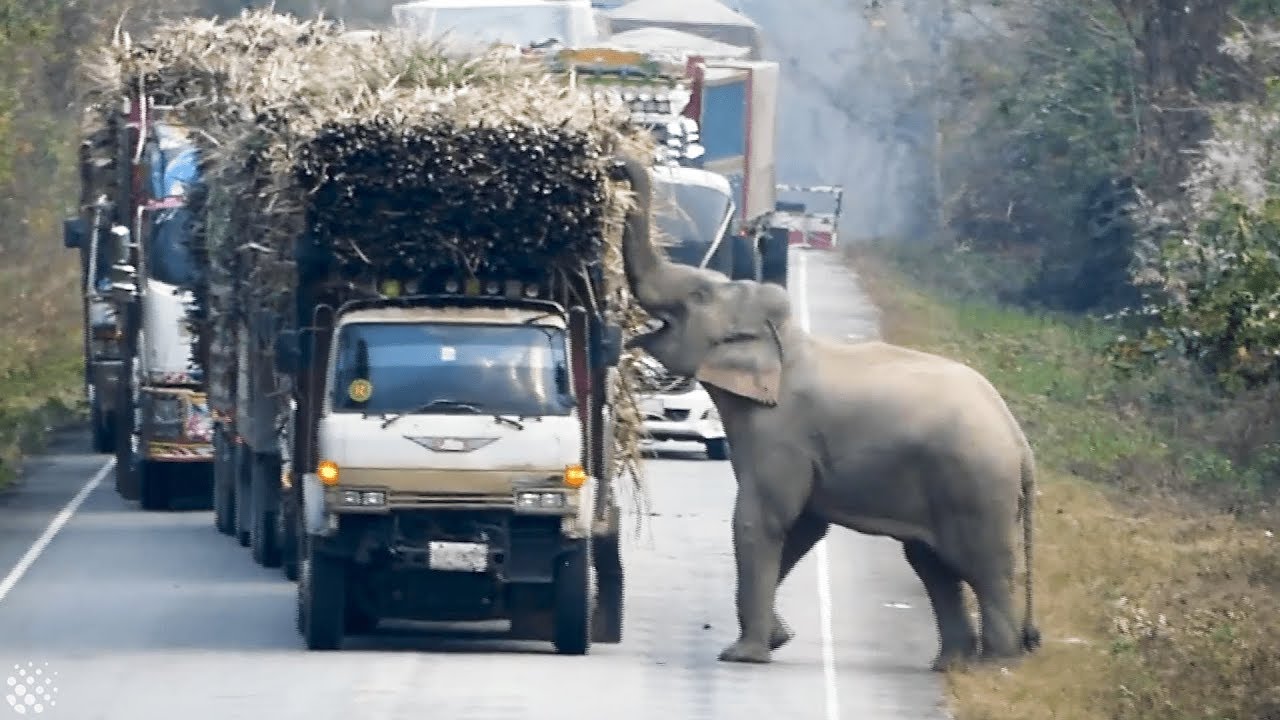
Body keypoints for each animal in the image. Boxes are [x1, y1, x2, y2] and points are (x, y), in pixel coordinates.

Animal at [606, 156, 1039, 666]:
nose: (616, 166)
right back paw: (952, 665)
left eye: (697, 298)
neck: (785, 341)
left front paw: (744, 655)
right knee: (932, 564)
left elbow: (763, 518)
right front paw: (778, 638)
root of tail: (1020, 443)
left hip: (976, 485)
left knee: (984, 570)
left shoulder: (781, 431)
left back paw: (997, 664)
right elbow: (803, 526)